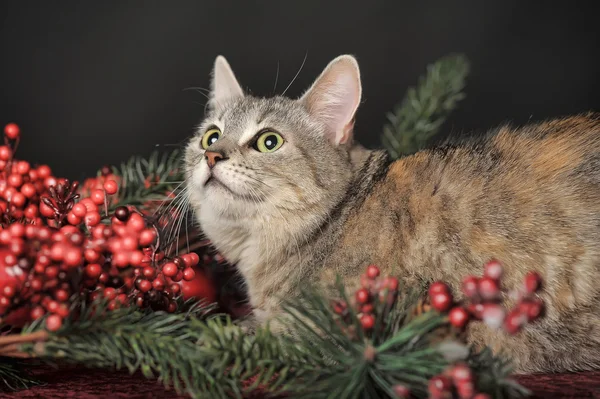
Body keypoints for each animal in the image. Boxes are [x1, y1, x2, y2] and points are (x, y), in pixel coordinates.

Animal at [183, 54, 600, 376]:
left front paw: (211, 338)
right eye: (210, 136)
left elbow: (259, 336)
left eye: (269, 141)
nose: (212, 155)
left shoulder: (343, 327)